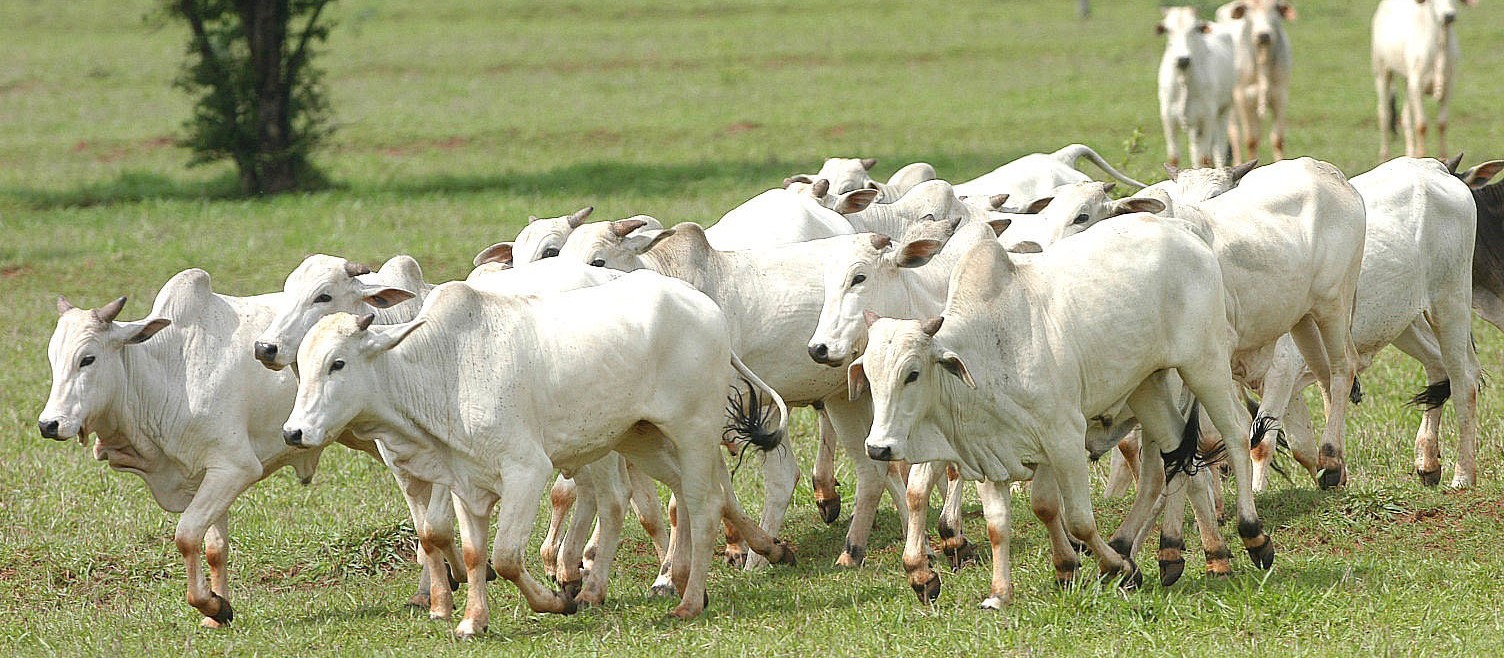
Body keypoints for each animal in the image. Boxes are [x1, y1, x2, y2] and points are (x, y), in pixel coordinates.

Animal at [40, 271, 317, 627]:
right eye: (53, 359)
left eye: (87, 359)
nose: (49, 424)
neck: (169, 374)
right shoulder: (207, 475)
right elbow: (214, 547)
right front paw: (217, 613)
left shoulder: (235, 468)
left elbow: (186, 536)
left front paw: (212, 605)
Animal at [284, 270, 800, 633]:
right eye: (302, 367)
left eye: (337, 363)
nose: (294, 432)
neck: (445, 369)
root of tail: (705, 307)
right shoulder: (464, 484)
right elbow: (473, 554)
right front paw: (472, 620)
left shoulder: (526, 471)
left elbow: (508, 556)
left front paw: (557, 601)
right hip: (641, 437)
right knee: (688, 498)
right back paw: (744, 557)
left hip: (693, 432)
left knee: (702, 503)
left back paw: (689, 600)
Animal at [854, 225, 1263, 606]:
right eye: (870, 375)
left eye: (912, 373)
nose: (877, 447)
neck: (991, 348)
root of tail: (1185, 233)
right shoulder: (992, 451)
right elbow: (1001, 522)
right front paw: (1000, 592)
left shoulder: (1063, 438)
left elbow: (1078, 519)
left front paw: (1115, 567)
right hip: (1148, 388)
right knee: (1175, 460)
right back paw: (1174, 554)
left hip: (1204, 364)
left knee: (1233, 434)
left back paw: (1249, 536)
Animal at [1215, 0, 1299, 162]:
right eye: (1248, 9)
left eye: (1275, 7)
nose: (1263, 35)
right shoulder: (1243, 97)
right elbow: (1251, 139)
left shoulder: (1280, 95)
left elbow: (1277, 138)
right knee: (1234, 133)